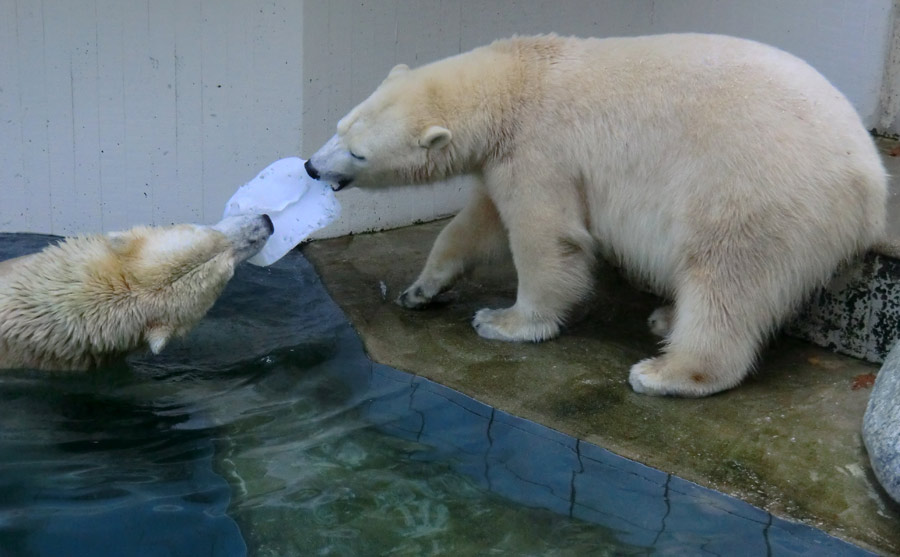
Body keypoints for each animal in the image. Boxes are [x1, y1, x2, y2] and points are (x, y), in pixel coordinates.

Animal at [304, 33, 884, 396]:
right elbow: (477, 223)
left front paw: (505, 322)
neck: (519, 80)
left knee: (727, 279)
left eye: (358, 153)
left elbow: (546, 236)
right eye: (340, 125)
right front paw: (420, 290)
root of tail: (872, 185)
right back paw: (665, 318)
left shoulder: (543, 148)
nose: (311, 166)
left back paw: (666, 371)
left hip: (756, 191)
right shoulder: (504, 157)